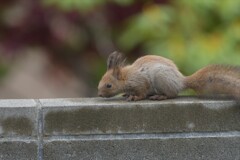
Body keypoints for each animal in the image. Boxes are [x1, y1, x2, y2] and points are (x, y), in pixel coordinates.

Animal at [97, 51, 240, 101]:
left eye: (109, 85)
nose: (99, 94)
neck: (127, 77)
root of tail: (180, 81)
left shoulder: (140, 82)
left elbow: (142, 93)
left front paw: (134, 97)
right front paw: (127, 94)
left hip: (162, 79)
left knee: (172, 94)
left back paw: (160, 96)